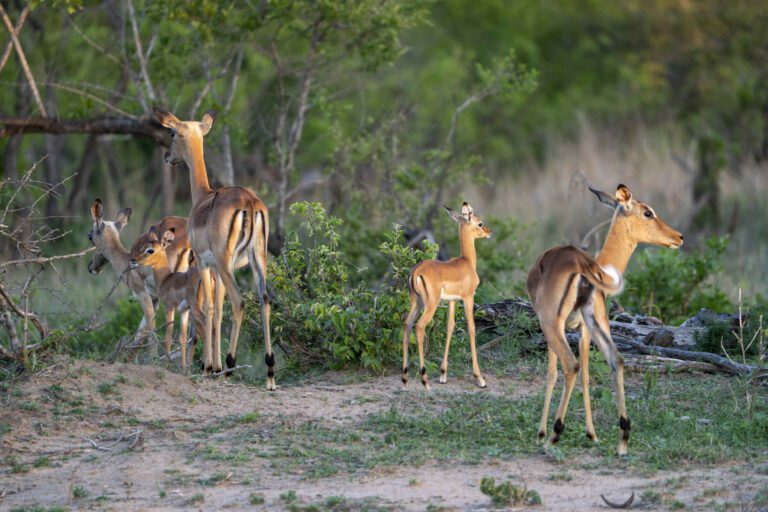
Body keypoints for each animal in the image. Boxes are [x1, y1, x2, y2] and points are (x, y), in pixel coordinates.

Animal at [130, 227, 206, 369]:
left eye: (150, 250)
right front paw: (183, 367)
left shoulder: (169, 307)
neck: (166, 278)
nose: (133, 259)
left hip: (196, 307)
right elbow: (182, 338)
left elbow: (168, 337)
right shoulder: (184, 311)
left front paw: (166, 364)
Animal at [153, 107, 275, 388]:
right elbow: (219, 310)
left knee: (239, 302)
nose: (167, 157)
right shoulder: (219, 270)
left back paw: (230, 366)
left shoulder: (204, 263)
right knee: (264, 301)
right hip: (257, 260)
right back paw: (270, 373)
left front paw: (210, 367)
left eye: (172, 133)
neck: (203, 196)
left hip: (225, 263)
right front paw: (214, 365)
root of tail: (249, 203)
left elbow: (209, 308)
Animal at [402, 202, 492, 391]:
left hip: (416, 303)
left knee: (407, 324)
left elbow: (450, 326)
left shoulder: (452, 301)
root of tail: (416, 271)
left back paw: (405, 379)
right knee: (419, 327)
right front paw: (480, 378)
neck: (467, 262)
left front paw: (443, 374)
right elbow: (472, 328)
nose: (489, 231)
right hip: (430, 305)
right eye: (479, 223)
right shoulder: (468, 298)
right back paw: (425, 380)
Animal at [526, 184, 683, 455]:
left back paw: (553, 437)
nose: (678, 237)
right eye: (648, 212)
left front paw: (541, 432)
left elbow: (552, 373)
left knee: (571, 366)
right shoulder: (584, 330)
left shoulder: (558, 328)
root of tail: (581, 265)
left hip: (552, 325)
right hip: (594, 323)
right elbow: (588, 375)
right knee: (616, 360)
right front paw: (592, 434)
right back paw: (623, 438)